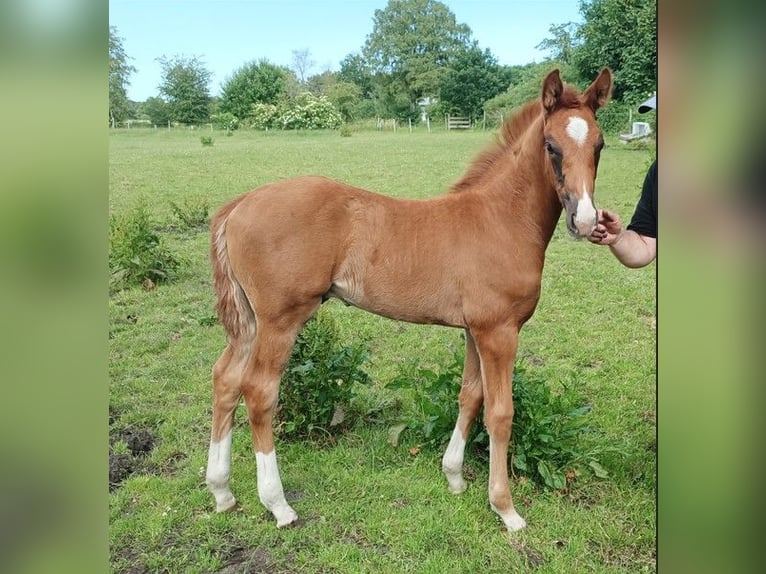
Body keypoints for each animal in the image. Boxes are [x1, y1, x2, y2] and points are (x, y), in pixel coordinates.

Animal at [205, 68, 613, 532]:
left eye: (599, 145)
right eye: (551, 146)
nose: (586, 221)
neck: (501, 219)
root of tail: (240, 204)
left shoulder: (475, 330)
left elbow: (470, 396)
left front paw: (454, 477)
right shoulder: (499, 332)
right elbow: (500, 413)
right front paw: (505, 508)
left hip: (250, 323)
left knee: (225, 380)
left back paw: (222, 491)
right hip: (280, 321)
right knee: (259, 391)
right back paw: (278, 504)